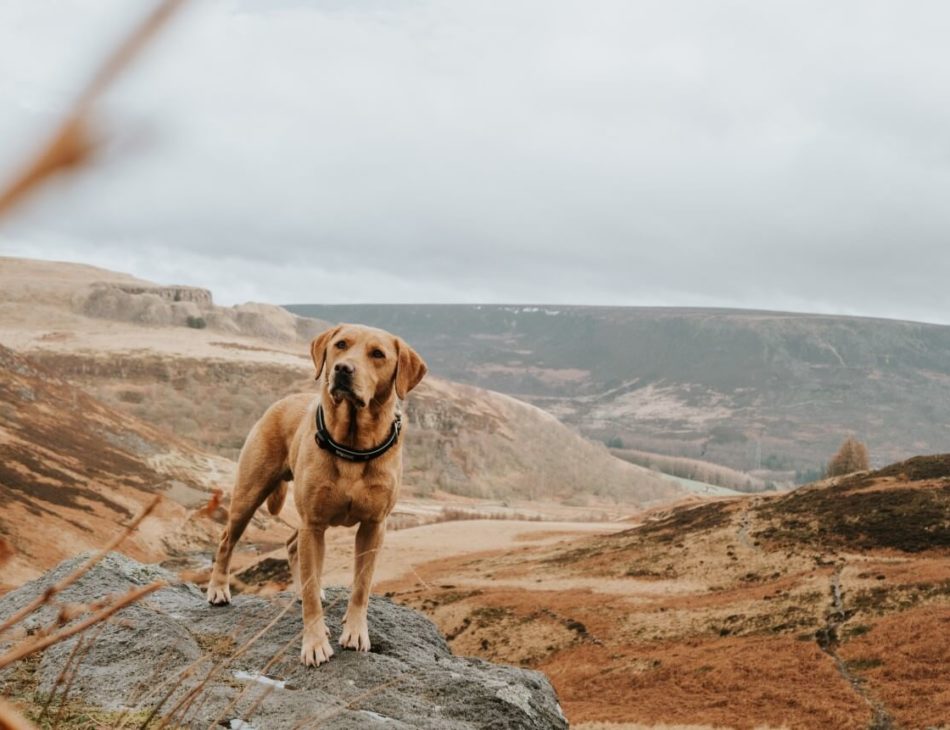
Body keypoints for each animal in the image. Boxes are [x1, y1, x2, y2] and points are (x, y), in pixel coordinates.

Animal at [209, 322, 432, 664]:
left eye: (377, 354)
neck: (353, 444)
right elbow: (313, 591)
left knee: (290, 544)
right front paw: (314, 643)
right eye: (341, 345)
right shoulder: (314, 524)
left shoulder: (373, 526)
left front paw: (355, 631)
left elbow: (361, 586)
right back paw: (218, 589)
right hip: (249, 494)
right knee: (226, 540)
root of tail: (280, 403)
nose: (342, 369)